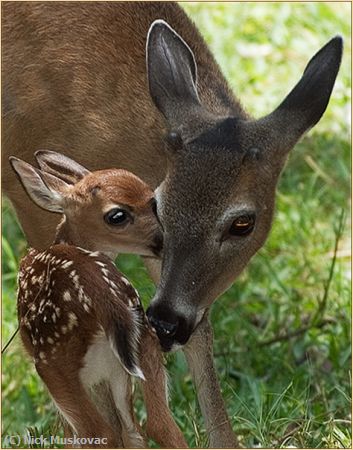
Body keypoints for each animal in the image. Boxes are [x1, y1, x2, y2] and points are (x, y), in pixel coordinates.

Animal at [0, 2, 340, 446]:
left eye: (243, 223)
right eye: (161, 203)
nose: (166, 322)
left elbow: (196, 336)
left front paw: (225, 440)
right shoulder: (32, 196)